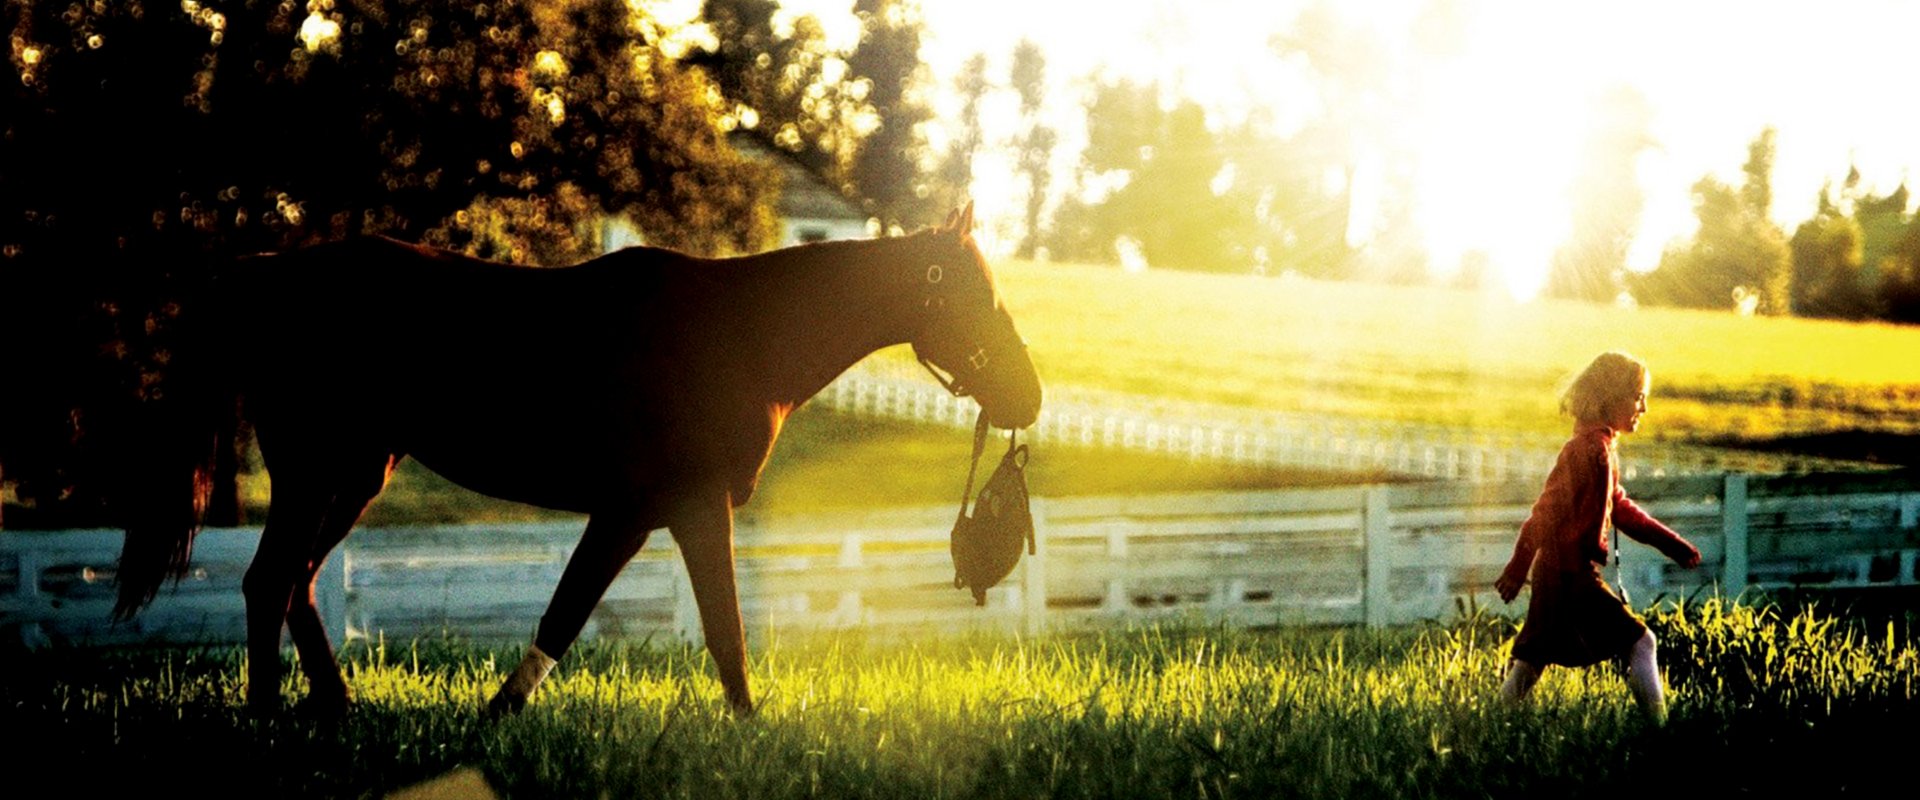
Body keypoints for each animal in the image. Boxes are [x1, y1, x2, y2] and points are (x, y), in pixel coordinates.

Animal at [112, 202, 1044, 713]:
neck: (740, 338)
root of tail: (264, 272)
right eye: (976, 295)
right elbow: (704, 628)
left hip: (356, 475)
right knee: (269, 581)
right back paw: (273, 718)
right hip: (316, 472)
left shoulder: (649, 515)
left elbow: (598, 620)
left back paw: (336, 711)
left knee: (297, 582)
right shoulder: (673, 508)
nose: (1030, 398)